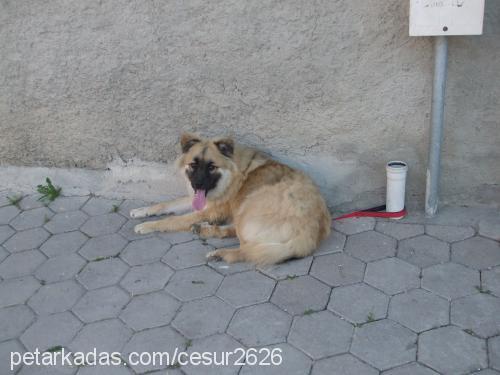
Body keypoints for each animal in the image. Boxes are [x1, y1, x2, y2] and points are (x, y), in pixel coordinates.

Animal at [131, 134, 330, 266]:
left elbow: (173, 219)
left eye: (211, 167)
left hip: (248, 207)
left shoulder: (212, 209)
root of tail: (310, 233)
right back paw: (205, 230)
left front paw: (148, 225)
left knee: (248, 249)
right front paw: (142, 210)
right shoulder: (202, 201)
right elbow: (166, 204)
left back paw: (221, 253)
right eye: (193, 165)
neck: (232, 172)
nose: (197, 184)